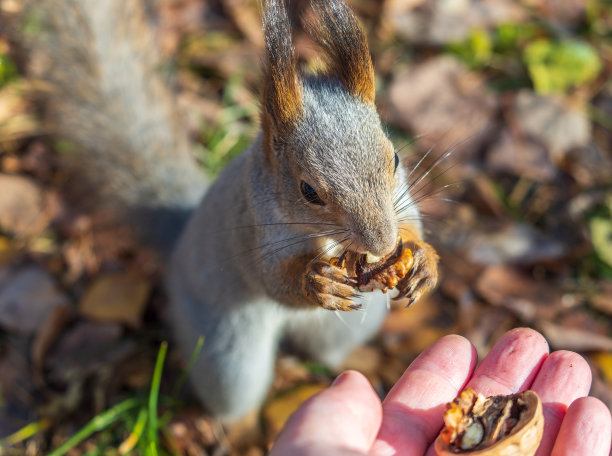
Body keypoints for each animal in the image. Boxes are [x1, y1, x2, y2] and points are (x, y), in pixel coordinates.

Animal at [15, 0, 440, 420]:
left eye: (396, 159)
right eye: (308, 191)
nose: (381, 244)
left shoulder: (400, 201)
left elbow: (411, 222)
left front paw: (422, 260)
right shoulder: (252, 225)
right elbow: (274, 281)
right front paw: (315, 282)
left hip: (347, 325)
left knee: (328, 350)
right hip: (227, 352)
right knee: (232, 393)